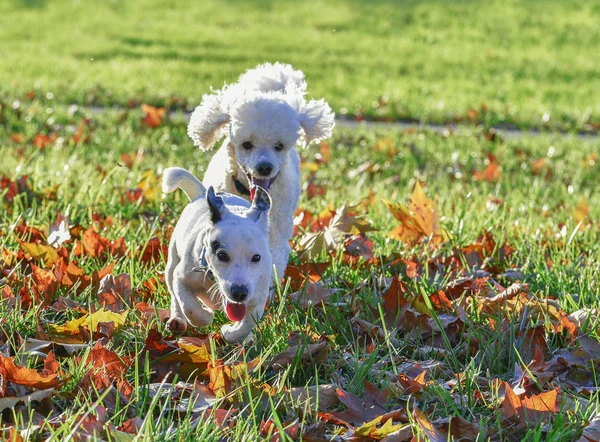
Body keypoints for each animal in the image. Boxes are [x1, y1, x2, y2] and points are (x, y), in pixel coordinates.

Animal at [161, 167, 270, 344]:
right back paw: (177, 320)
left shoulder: (258, 295)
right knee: (174, 295)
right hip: (171, 264)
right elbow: (190, 307)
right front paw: (206, 315)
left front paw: (230, 332)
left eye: (256, 258)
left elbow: (248, 321)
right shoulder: (181, 278)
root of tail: (202, 193)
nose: (239, 293)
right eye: (222, 255)